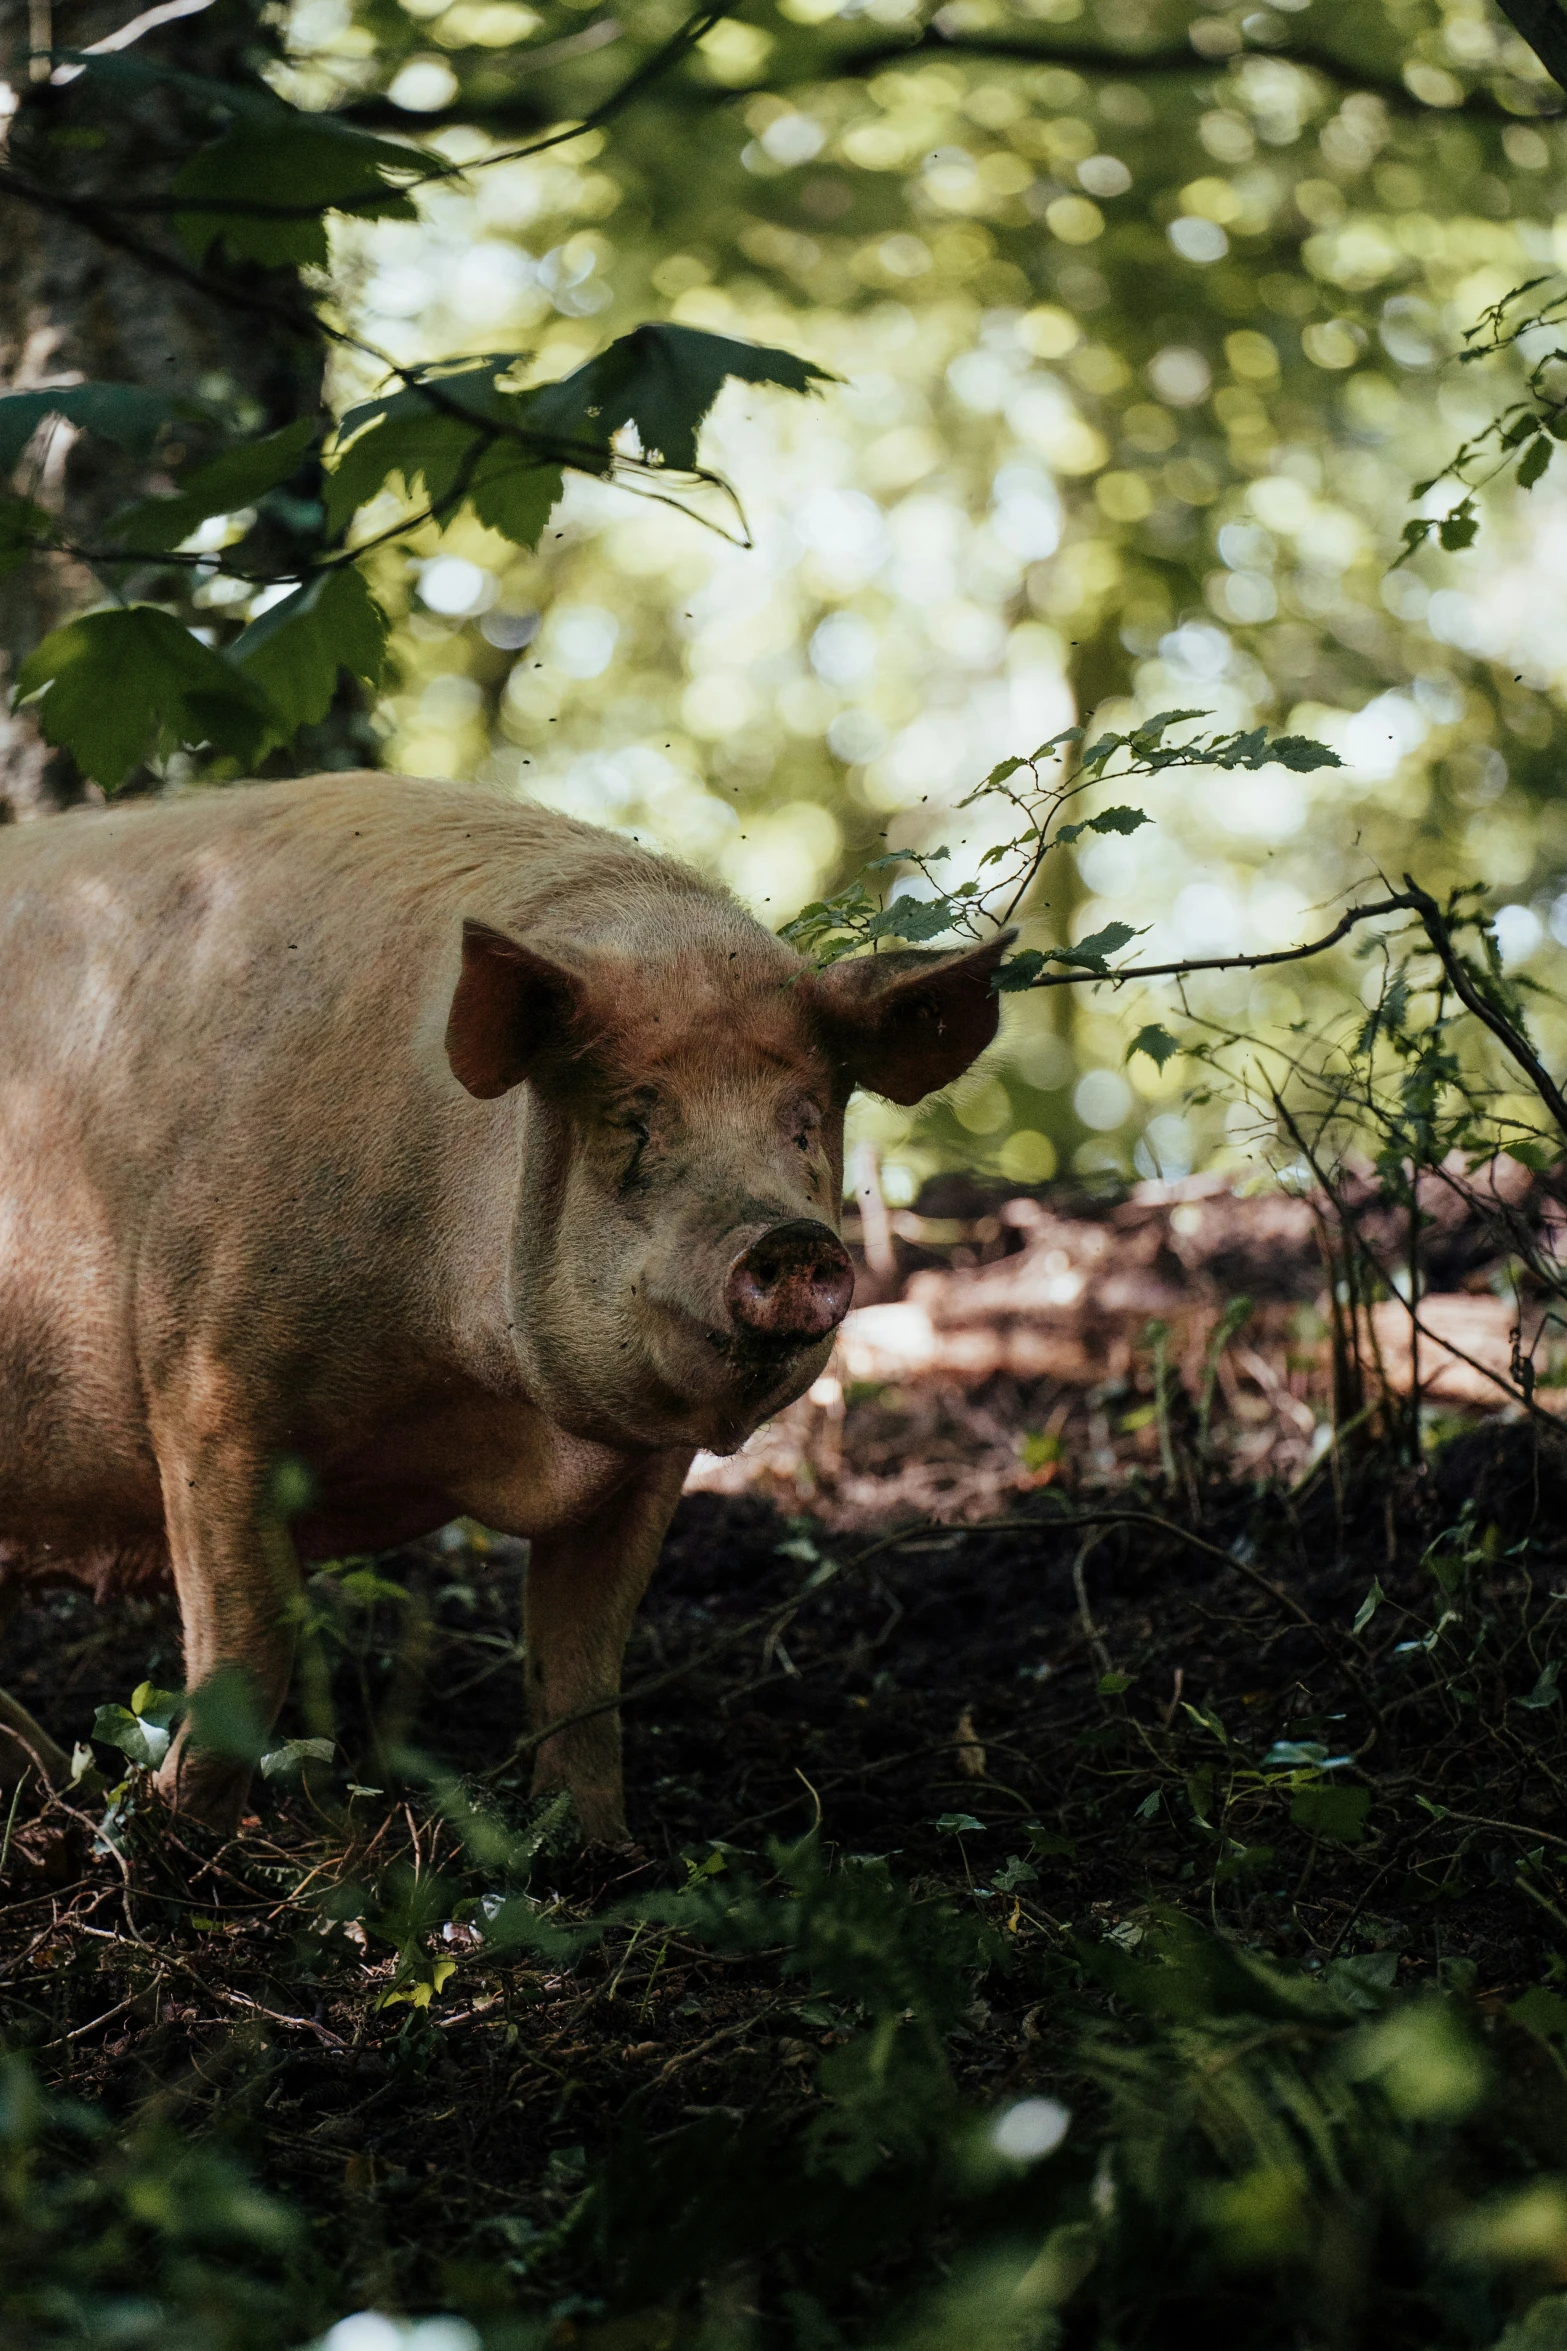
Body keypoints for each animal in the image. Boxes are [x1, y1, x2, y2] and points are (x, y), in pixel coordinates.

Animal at [0, 771, 1005, 1833]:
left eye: (804, 1124)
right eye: (633, 1120)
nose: (787, 1238)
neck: (495, 1407)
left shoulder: (644, 1463)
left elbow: (583, 1661)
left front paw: (594, 1844)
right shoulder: (205, 1383)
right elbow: (249, 1643)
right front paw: (176, 1836)